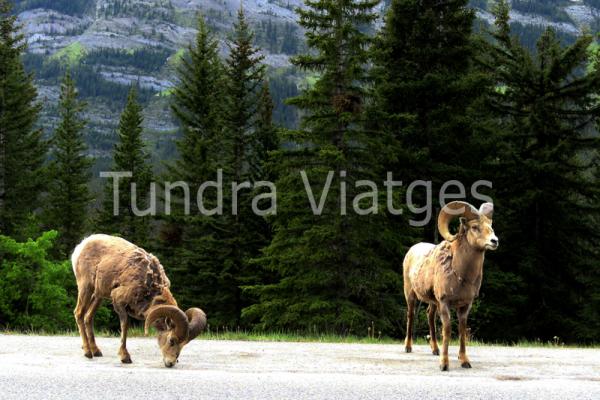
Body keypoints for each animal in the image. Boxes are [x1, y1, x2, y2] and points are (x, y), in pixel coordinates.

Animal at [72, 234, 206, 368]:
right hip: (86, 288)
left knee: (88, 317)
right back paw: (88, 352)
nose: (171, 363)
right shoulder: (119, 302)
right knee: (79, 314)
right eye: (171, 340)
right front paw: (125, 357)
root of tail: (81, 246)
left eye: (184, 344)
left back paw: (96, 351)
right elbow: (125, 327)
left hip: (98, 295)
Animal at [404, 202, 496, 370]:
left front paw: (464, 361)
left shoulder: (465, 306)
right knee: (411, 315)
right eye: (474, 227)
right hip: (410, 295)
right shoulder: (445, 303)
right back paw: (408, 347)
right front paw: (444, 364)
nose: (494, 241)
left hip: (433, 302)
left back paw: (435, 350)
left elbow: (462, 331)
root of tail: (412, 250)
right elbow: (447, 331)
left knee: (430, 316)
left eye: (490, 226)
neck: (461, 274)